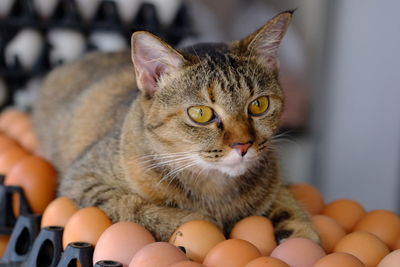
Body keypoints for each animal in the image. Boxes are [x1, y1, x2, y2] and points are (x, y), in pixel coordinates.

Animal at [32, 11, 318, 243]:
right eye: (201, 113)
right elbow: (135, 208)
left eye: (259, 105)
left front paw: (301, 236)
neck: (215, 189)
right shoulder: (82, 182)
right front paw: (203, 224)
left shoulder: (275, 182)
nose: (243, 145)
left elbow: (289, 205)